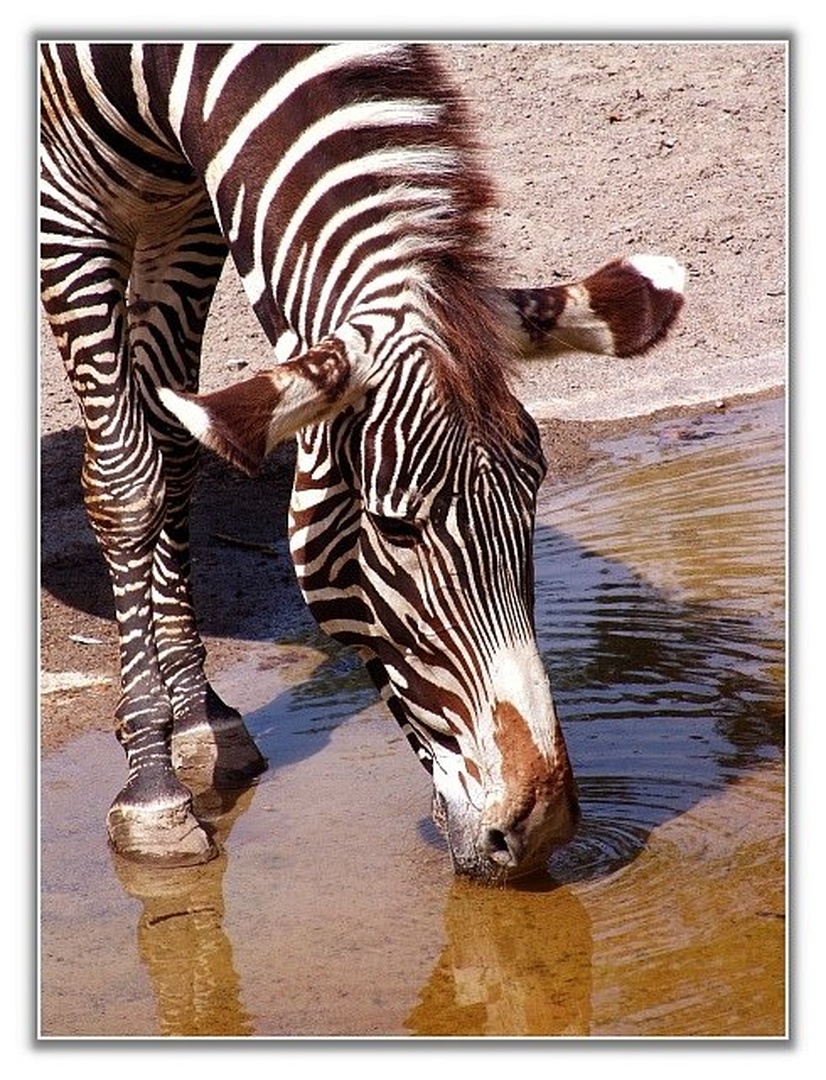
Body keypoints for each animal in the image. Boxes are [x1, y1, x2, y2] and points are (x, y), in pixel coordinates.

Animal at [40, 42, 684, 882]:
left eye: (534, 501)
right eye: (395, 528)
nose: (540, 828)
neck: (168, 65)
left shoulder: (190, 202)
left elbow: (177, 453)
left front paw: (202, 720)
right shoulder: (64, 198)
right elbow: (127, 478)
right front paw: (153, 792)